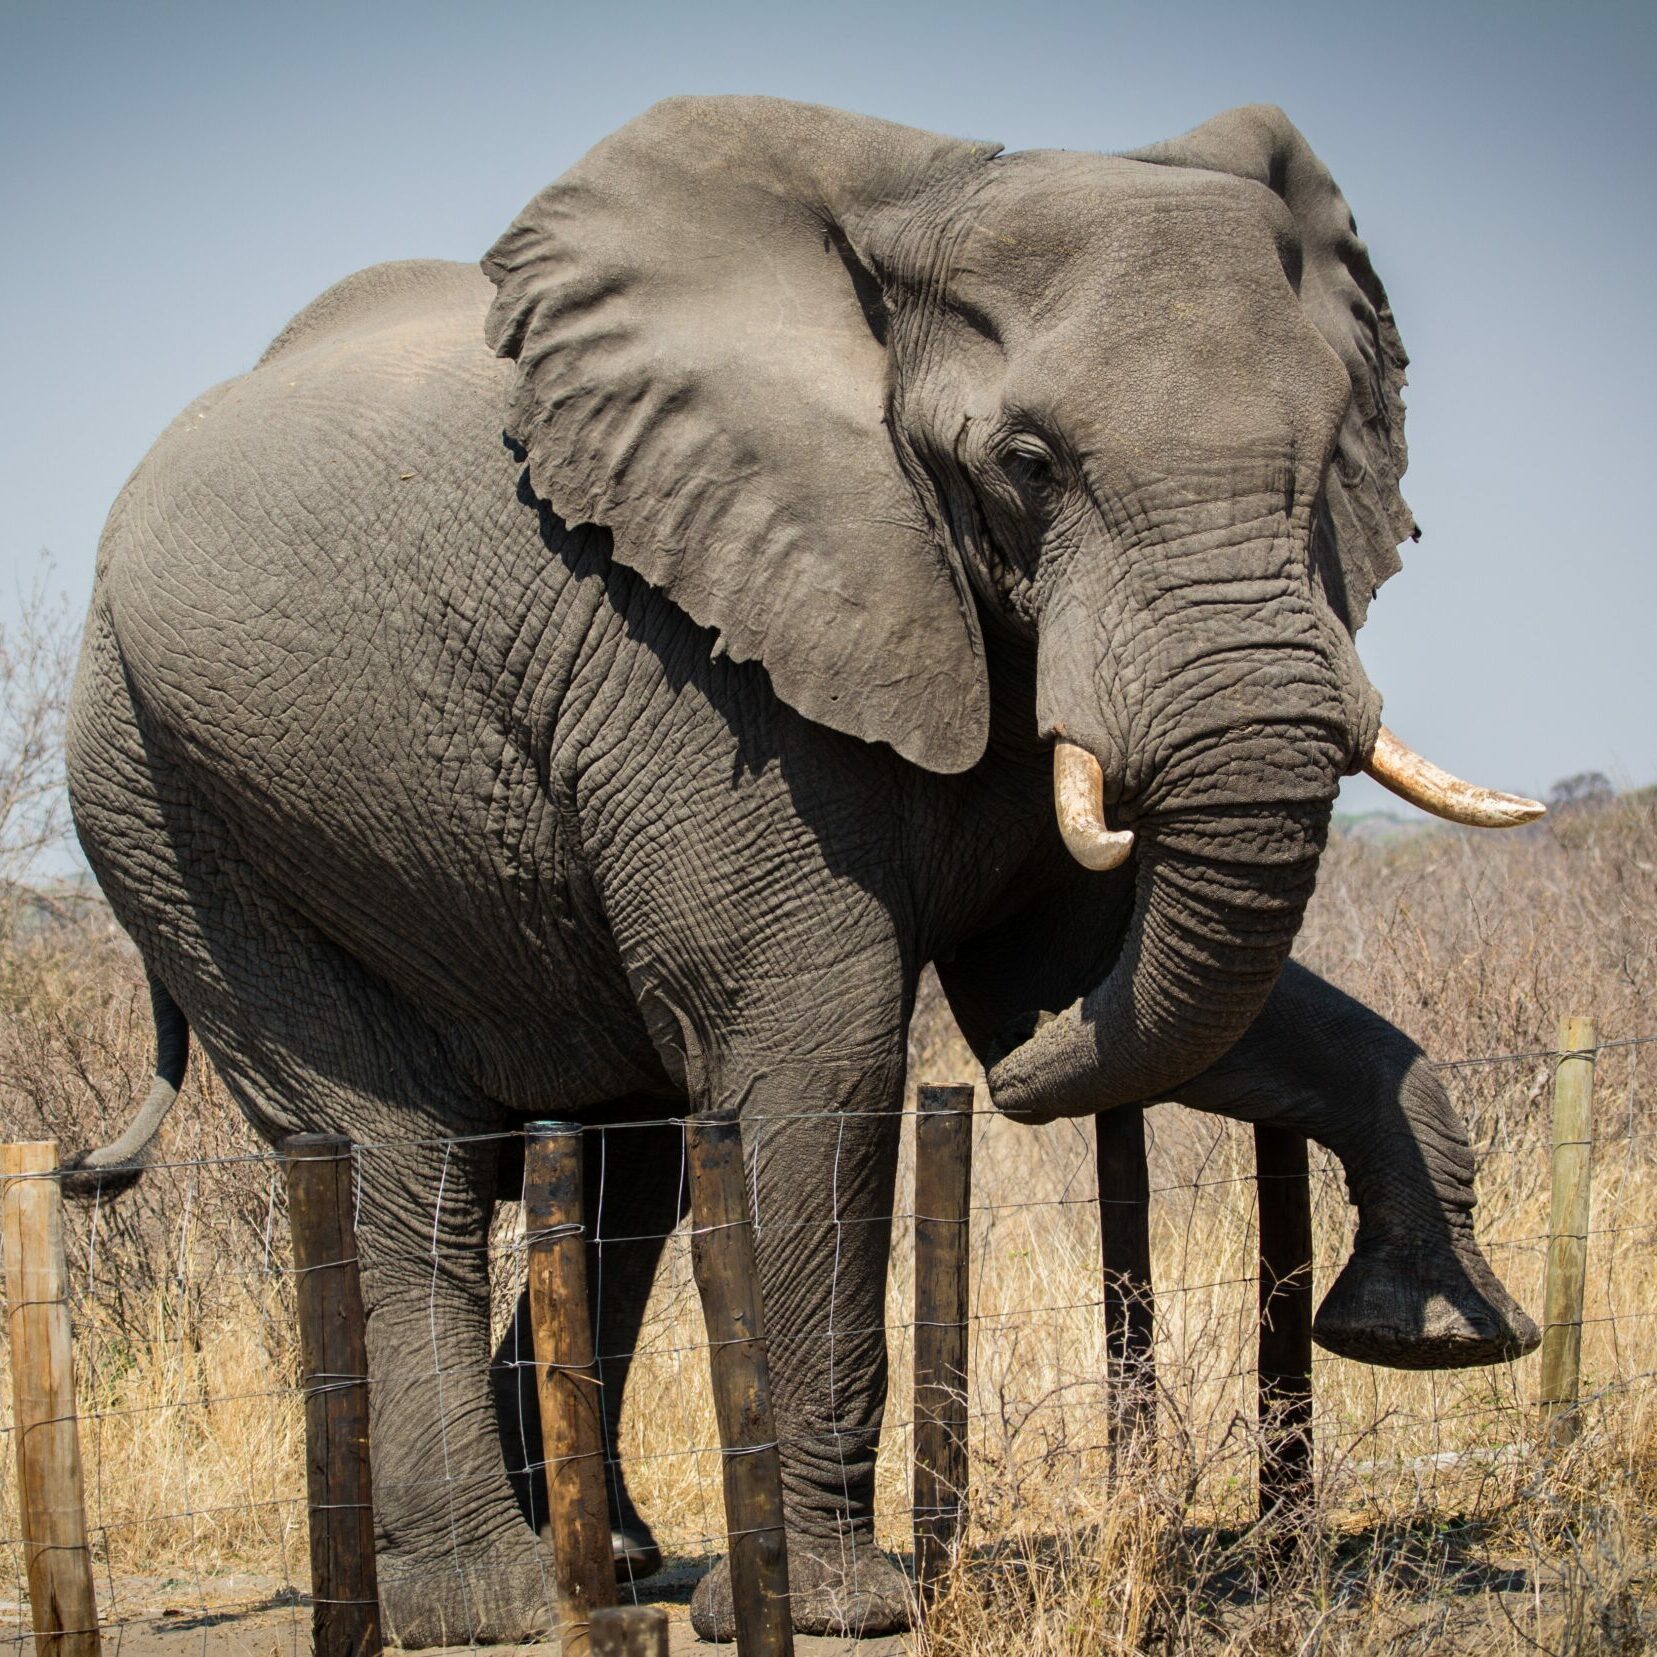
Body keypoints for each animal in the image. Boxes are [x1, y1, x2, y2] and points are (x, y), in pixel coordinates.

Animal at [64, 94, 1537, 1643]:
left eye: (1335, 458)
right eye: (1028, 464)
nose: (1018, 1093)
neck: (917, 211)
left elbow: (1074, 977)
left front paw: (1432, 1336)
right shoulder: (693, 656)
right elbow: (816, 1043)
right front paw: (837, 1612)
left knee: (624, 1161)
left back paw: (614, 1562)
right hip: (173, 804)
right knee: (402, 1157)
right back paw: (493, 1605)